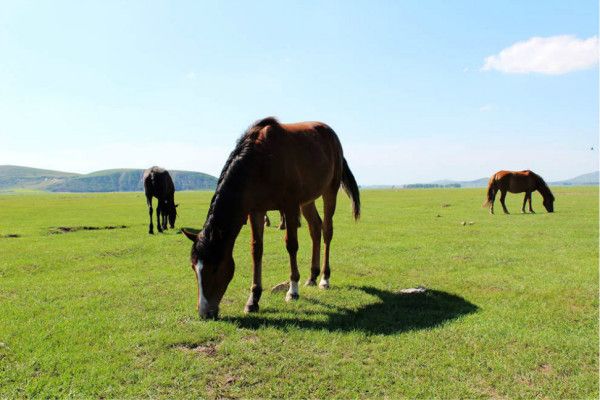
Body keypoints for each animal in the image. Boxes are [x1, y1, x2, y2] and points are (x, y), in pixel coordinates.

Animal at [183, 115, 358, 318]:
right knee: (315, 228)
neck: (261, 161)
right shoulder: (256, 210)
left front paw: (293, 290)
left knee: (327, 231)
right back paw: (312, 276)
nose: (204, 312)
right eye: (193, 267)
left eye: (215, 267)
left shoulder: (290, 205)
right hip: (307, 200)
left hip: (330, 190)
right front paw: (253, 299)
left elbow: (291, 245)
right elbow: (256, 250)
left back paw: (324, 278)